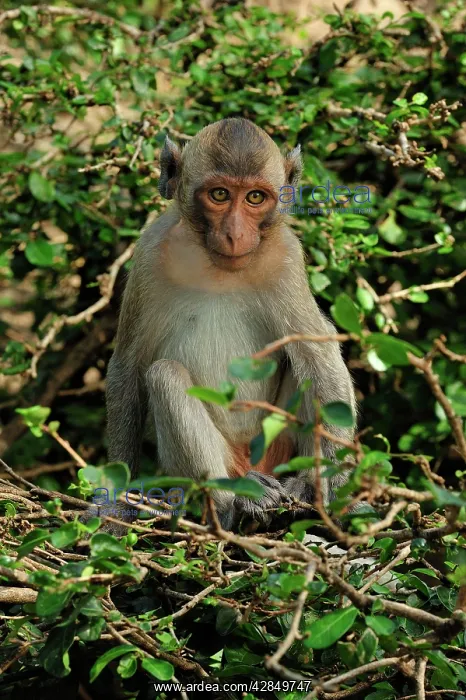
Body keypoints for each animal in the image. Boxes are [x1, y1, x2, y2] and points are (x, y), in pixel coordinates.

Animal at [81, 117, 356, 535]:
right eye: (220, 194)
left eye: (255, 198)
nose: (235, 234)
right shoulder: (149, 254)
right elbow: (128, 365)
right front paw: (115, 503)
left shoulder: (286, 258)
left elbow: (318, 356)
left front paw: (327, 481)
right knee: (164, 375)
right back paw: (235, 499)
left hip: (276, 441)